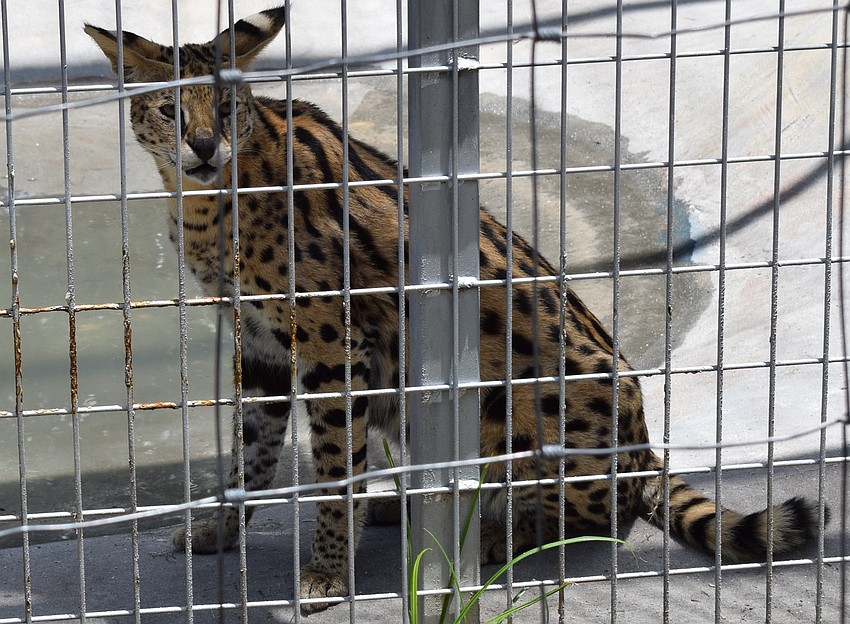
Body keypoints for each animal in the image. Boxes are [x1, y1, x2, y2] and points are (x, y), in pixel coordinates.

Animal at [86, 6, 823, 612]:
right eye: (168, 111)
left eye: (226, 108)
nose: (205, 146)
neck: (206, 202)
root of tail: (646, 450)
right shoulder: (263, 346)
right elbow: (253, 454)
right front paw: (220, 529)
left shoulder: (330, 344)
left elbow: (332, 466)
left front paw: (327, 572)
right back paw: (414, 505)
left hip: (526, 407)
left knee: (596, 513)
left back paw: (493, 531)